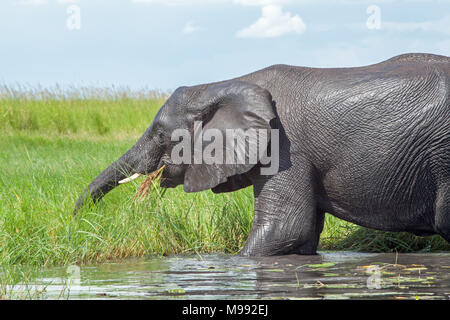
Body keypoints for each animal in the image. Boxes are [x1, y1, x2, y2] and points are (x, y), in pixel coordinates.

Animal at [74, 53, 450, 258]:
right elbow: (302, 237)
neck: (229, 84)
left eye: (161, 134)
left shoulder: (287, 146)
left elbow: (285, 229)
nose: (77, 224)